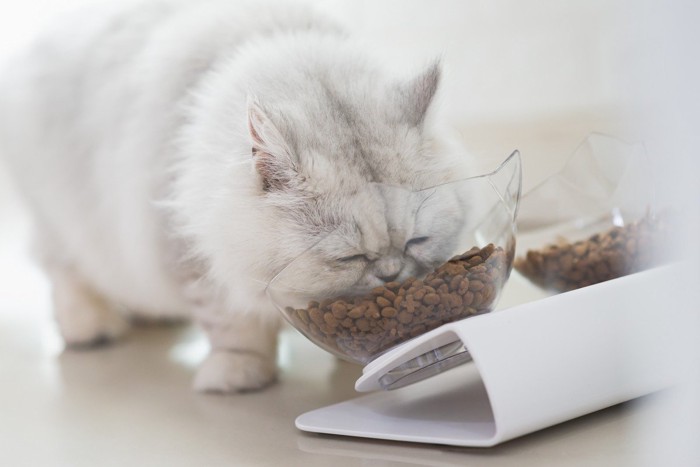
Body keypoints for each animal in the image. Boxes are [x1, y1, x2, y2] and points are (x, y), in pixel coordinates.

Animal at [1, 0, 470, 394]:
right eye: (348, 258)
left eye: (416, 242)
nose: (391, 274)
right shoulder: (192, 253)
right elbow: (233, 328)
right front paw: (238, 376)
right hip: (62, 222)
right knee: (67, 276)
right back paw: (91, 329)